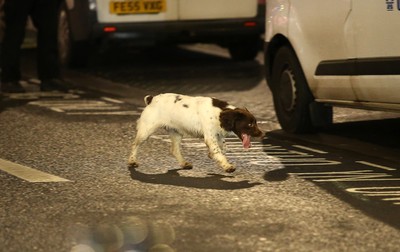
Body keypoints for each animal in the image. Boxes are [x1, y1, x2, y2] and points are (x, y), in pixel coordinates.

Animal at [128, 93, 264, 172]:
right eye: (250, 124)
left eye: (255, 122)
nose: (262, 134)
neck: (221, 113)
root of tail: (151, 99)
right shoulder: (210, 136)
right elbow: (218, 151)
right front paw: (227, 166)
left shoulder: (217, 136)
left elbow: (222, 149)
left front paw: (212, 155)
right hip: (146, 130)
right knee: (134, 144)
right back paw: (132, 161)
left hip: (176, 132)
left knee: (174, 150)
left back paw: (184, 163)